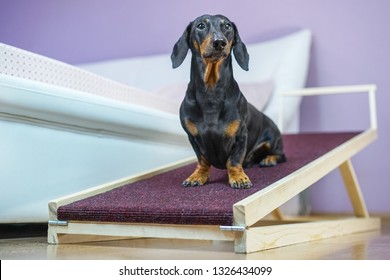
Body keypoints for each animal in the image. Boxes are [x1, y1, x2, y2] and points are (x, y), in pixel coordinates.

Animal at [171, 14, 286, 189]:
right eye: (200, 25)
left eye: (227, 26)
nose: (219, 42)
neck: (211, 92)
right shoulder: (193, 138)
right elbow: (202, 160)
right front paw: (197, 176)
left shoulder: (241, 136)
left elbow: (233, 160)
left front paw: (238, 177)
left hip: (272, 140)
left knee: (280, 155)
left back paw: (269, 159)